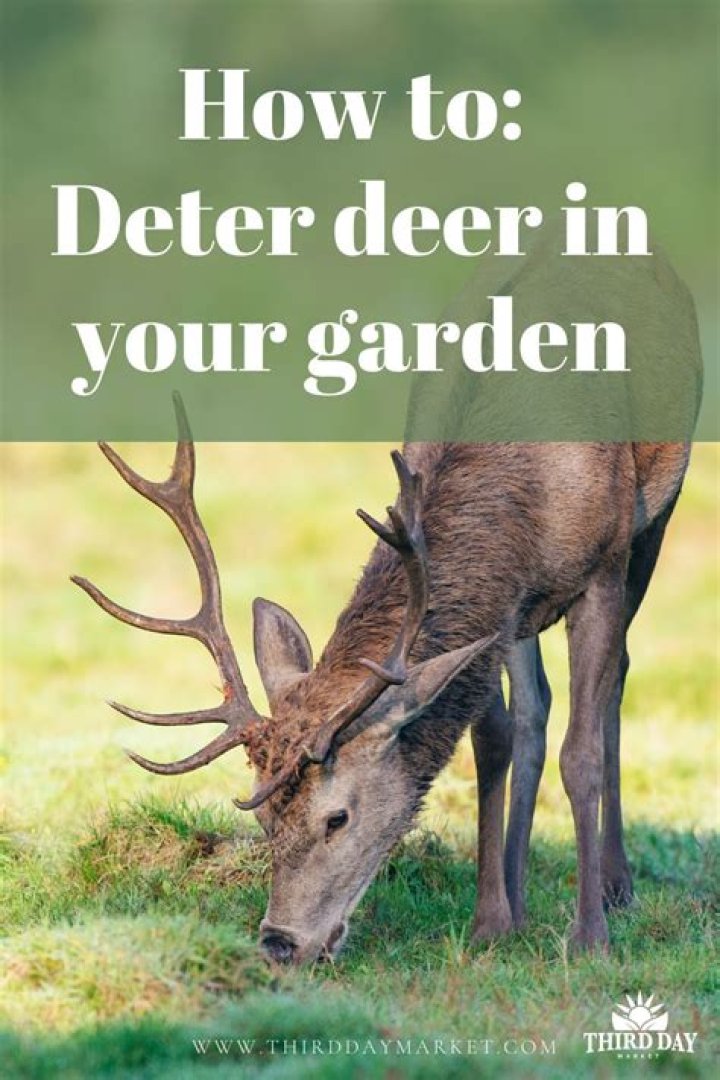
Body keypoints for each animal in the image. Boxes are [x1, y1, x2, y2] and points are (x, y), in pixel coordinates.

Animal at [73, 236, 702, 965]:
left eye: (337, 817)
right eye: (262, 812)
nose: (279, 943)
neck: (526, 492)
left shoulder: (602, 563)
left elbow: (583, 752)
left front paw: (589, 939)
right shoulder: (501, 606)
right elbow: (491, 738)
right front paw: (492, 921)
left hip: (654, 520)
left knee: (616, 683)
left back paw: (616, 886)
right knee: (534, 715)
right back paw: (520, 893)